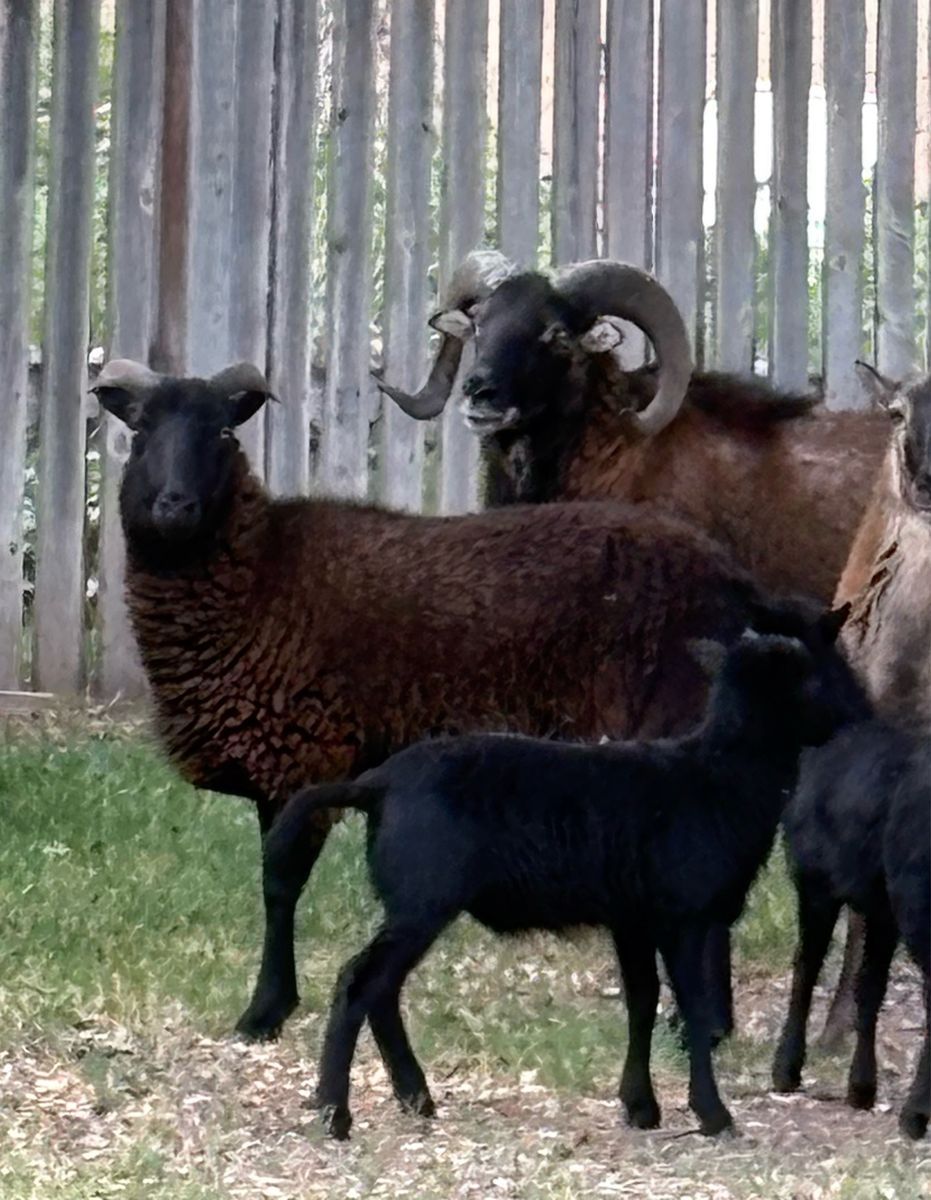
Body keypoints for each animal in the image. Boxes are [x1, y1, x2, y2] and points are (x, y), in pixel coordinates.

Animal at [91, 357, 818, 1042]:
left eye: (222, 433)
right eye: (140, 431)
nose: (175, 506)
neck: (262, 572)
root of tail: (729, 580)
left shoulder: (300, 753)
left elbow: (278, 883)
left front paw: (265, 1010)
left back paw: (702, 1024)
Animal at [263, 617, 864, 1141]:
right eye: (812, 675)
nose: (851, 720)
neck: (720, 775)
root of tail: (378, 783)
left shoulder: (633, 918)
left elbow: (641, 1001)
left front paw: (640, 1107)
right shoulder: (683, 917)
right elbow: (692, 1009)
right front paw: (713, 1115)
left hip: (414, 903)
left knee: (381, 989)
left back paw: (416, 1098)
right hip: (422, 898)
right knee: (359, 982)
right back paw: (335, 1113)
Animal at [773, 720, 930, 1139]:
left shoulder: (815, 883)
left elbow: (805, 969)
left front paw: (785, 1068)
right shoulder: (880, 909)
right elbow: (870, 988)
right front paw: (861, 1087)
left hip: (917, 902)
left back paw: (915, 1114)